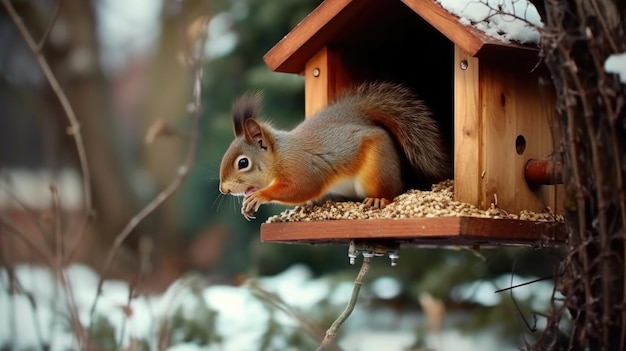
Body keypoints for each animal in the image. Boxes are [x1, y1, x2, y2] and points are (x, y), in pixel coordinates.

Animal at [219, 82, 448, 220]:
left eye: (243, 163)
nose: (224, 190)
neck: (279, 156)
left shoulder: (301, 167)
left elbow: (300, 188)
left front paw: (259, 196)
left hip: (377, 169)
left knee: (390, 190)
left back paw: (379, 199)